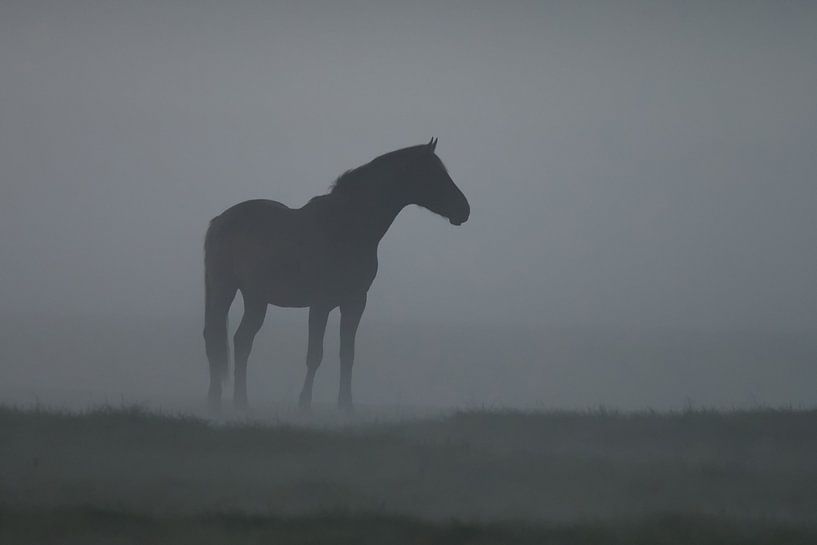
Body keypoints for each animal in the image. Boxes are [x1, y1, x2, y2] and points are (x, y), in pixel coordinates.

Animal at [203, 138, 470, 412]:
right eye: (435, 174)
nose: (464, 209)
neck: (346, 228)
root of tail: (219, 221)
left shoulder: (355, 302)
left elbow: (347, 354)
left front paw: (345, 405)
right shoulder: (320, 304)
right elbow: (315, 355)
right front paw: (304, 404)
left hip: (256, 299)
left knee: (241, 341)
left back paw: (240, 402)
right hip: (225, 291)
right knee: (215, 338)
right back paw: (217, 400)